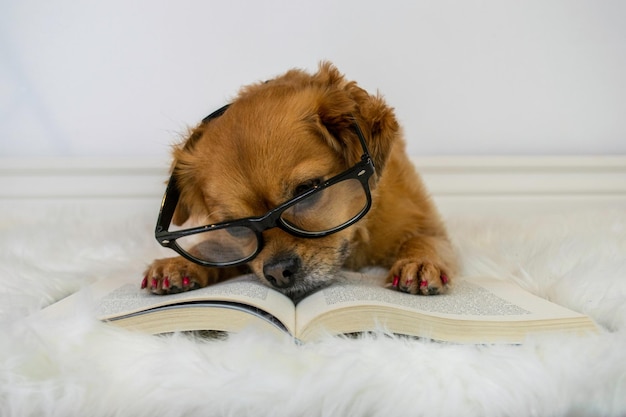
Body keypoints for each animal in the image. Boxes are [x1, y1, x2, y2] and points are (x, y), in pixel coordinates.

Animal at [144, 61, 458, 302]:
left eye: (307, 191)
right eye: (235, 228)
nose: (277, 272)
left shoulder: (430, 226)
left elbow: (423, 240)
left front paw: (419, 262)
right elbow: (215, 249)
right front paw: (181, 262)